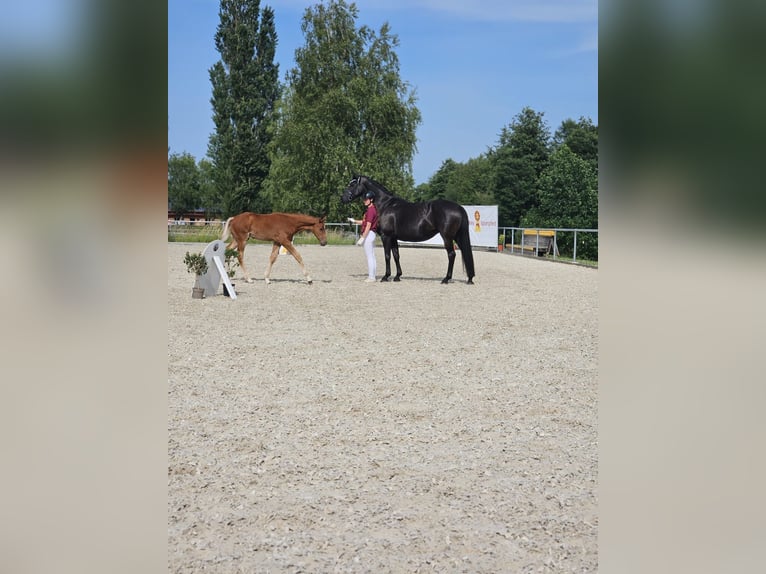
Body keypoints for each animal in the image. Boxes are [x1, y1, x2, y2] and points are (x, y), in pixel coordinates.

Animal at [341, 175, 475, 284]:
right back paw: (469, 278)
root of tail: (458, 207)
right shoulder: (393, 238)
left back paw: (446, 279)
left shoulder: (386, 236)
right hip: (456, 236)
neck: (385, 205)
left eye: (352, 184)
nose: (343, 198)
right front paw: (397, 276)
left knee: (451, 255)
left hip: (447, 237)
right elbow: (396, 255)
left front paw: (385, 277)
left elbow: (387, 256)